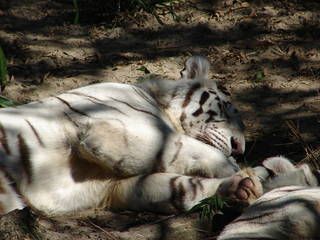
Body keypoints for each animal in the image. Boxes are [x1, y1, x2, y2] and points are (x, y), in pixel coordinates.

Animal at [0, 56, 260, 216]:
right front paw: (233, 168)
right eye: (224, 108)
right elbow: (180, 147)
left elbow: (181, 187)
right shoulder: (103, 129)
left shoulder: (113, 187)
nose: (239, 147)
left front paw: (242, 187)